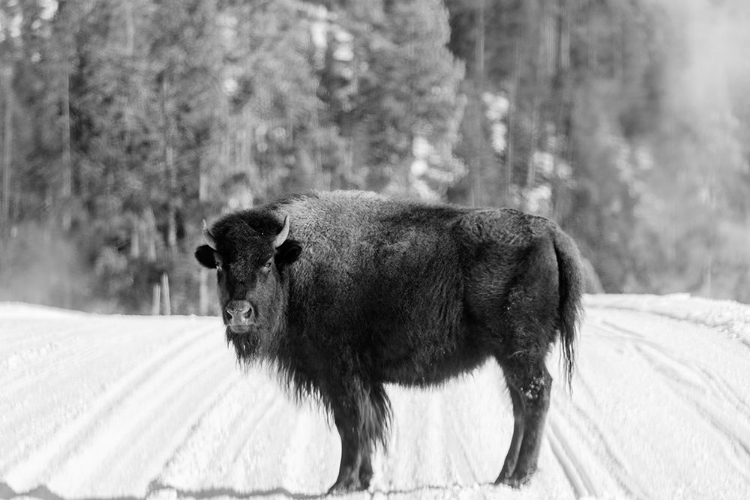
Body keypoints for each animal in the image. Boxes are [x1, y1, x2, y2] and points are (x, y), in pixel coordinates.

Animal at [197, 189, 584, 494]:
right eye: (220, 265)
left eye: (266, 262)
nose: (239, 313)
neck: (295, 265)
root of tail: (548, 231)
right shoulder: (359, 379)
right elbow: (365, 425)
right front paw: (362, 480)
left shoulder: (340, 374)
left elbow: (351, 425)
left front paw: (341, 485)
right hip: (509, 357)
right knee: (520, 405)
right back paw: (504, 475)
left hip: (519, 352)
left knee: (536, 395)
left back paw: (520, 477)